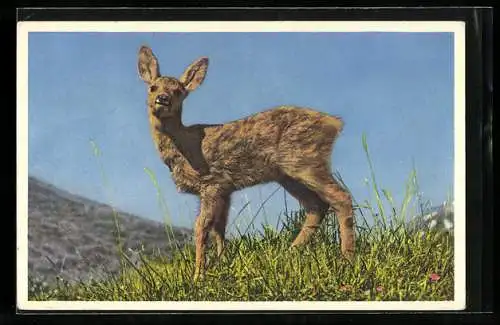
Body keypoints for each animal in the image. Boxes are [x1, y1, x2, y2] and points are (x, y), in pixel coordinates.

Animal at [137, 45, 356, 280]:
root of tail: (334, 123)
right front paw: (221, 262)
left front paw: (198, 275)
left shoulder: (212, 183)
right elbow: (219, 228)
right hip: (288, 174)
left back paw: (347, 259)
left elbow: (201, 227)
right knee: (316, 206)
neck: (184, 146)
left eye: (179, 91)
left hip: (306, 161)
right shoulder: (225, 189)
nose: (162, 98)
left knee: (340, 197)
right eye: (152, 87)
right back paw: (290, 252)